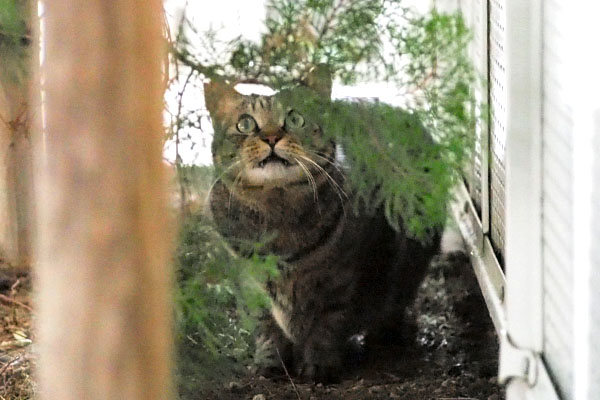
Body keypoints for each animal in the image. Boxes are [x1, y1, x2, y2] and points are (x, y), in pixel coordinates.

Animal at [204, 68, 442, 382]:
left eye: (295, 118)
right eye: (245, 124)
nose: (271, 136)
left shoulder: (346, 279)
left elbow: (329, 324)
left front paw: (319, 365)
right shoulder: (249, 285)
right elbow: (266, 327)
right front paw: (269, 361)